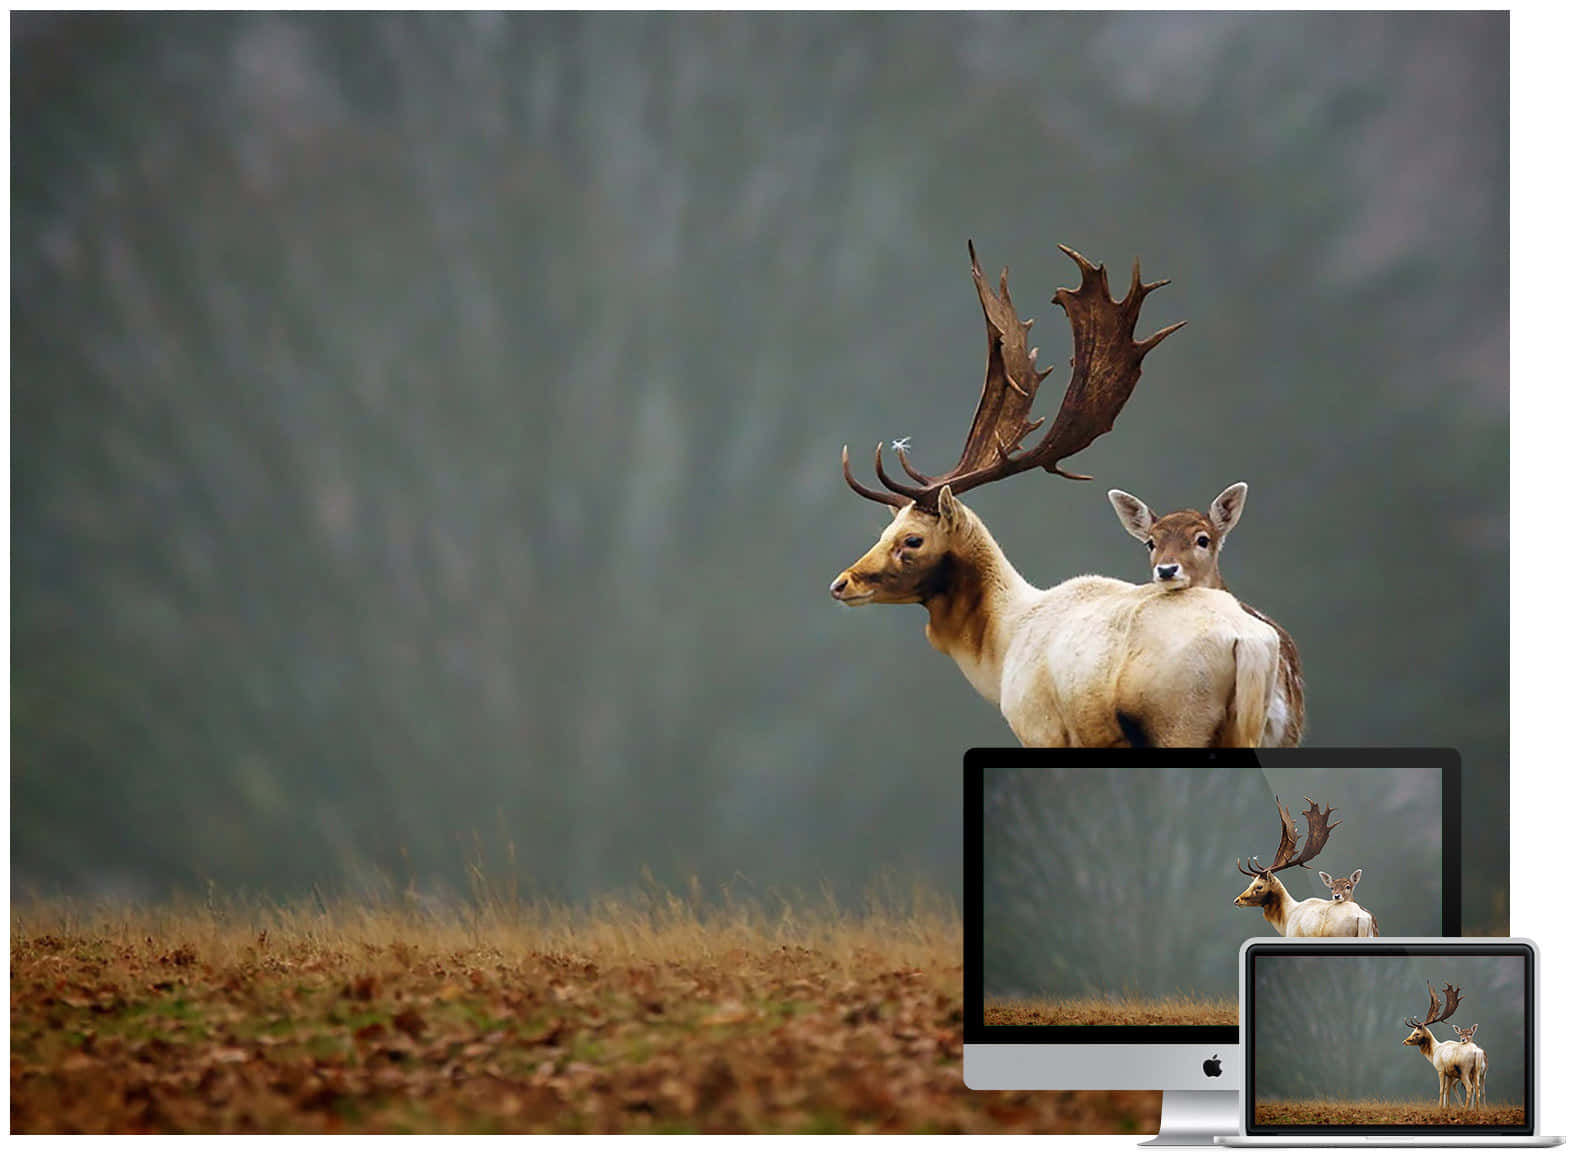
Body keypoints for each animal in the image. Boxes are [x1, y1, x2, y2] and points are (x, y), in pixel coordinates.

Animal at [829, 242, 1281, 748]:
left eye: (912, 539)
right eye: (884, 530)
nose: (840, 583)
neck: (1002, 650)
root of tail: (1249, 644)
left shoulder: (1040, 729)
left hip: (1178, 723)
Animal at [1403, 980, 1486, 1110]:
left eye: (1417, 1033)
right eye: (1412, 1031)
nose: (1405, 1041)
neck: (1434, 1052)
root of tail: (1477, 1052)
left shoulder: (1441, 1069)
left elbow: (1442, 1090)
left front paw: (1440, 1107)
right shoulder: (1450, 1074)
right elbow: (1447, 1091)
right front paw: (1447, 1108)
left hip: (1465, 1070)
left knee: (1470, 1088)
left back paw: (1465, 1110)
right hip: (1477, 1071)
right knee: (1477, 1088)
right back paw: (1476, 1110)